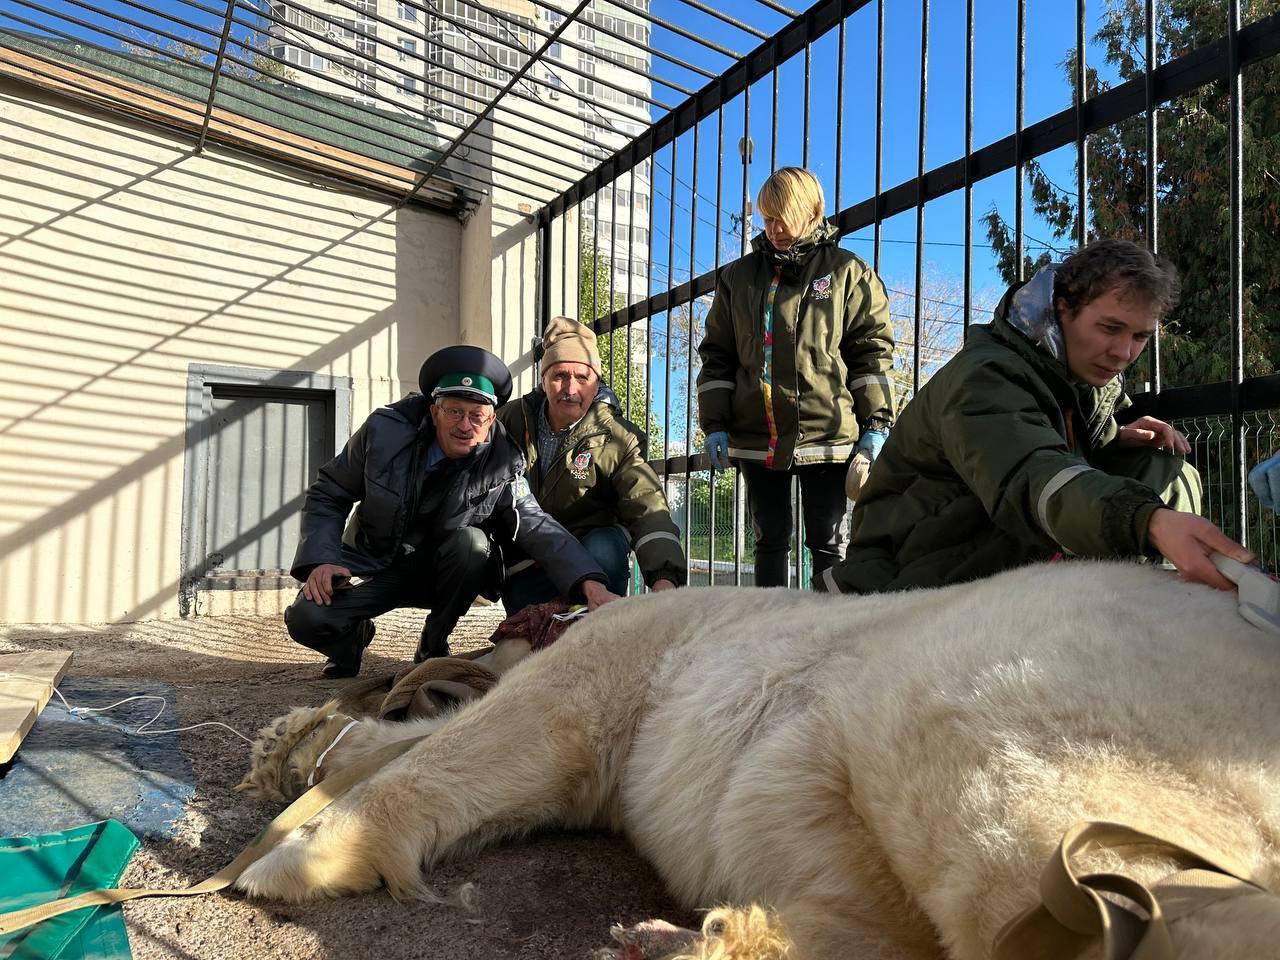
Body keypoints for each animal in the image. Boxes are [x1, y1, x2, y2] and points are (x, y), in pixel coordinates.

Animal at [232, 563, 1280, 960]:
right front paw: (296, 752)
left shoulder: (633, 653)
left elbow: (527, 730)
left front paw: (289, 857)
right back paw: (689, 938)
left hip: (1050, 684)